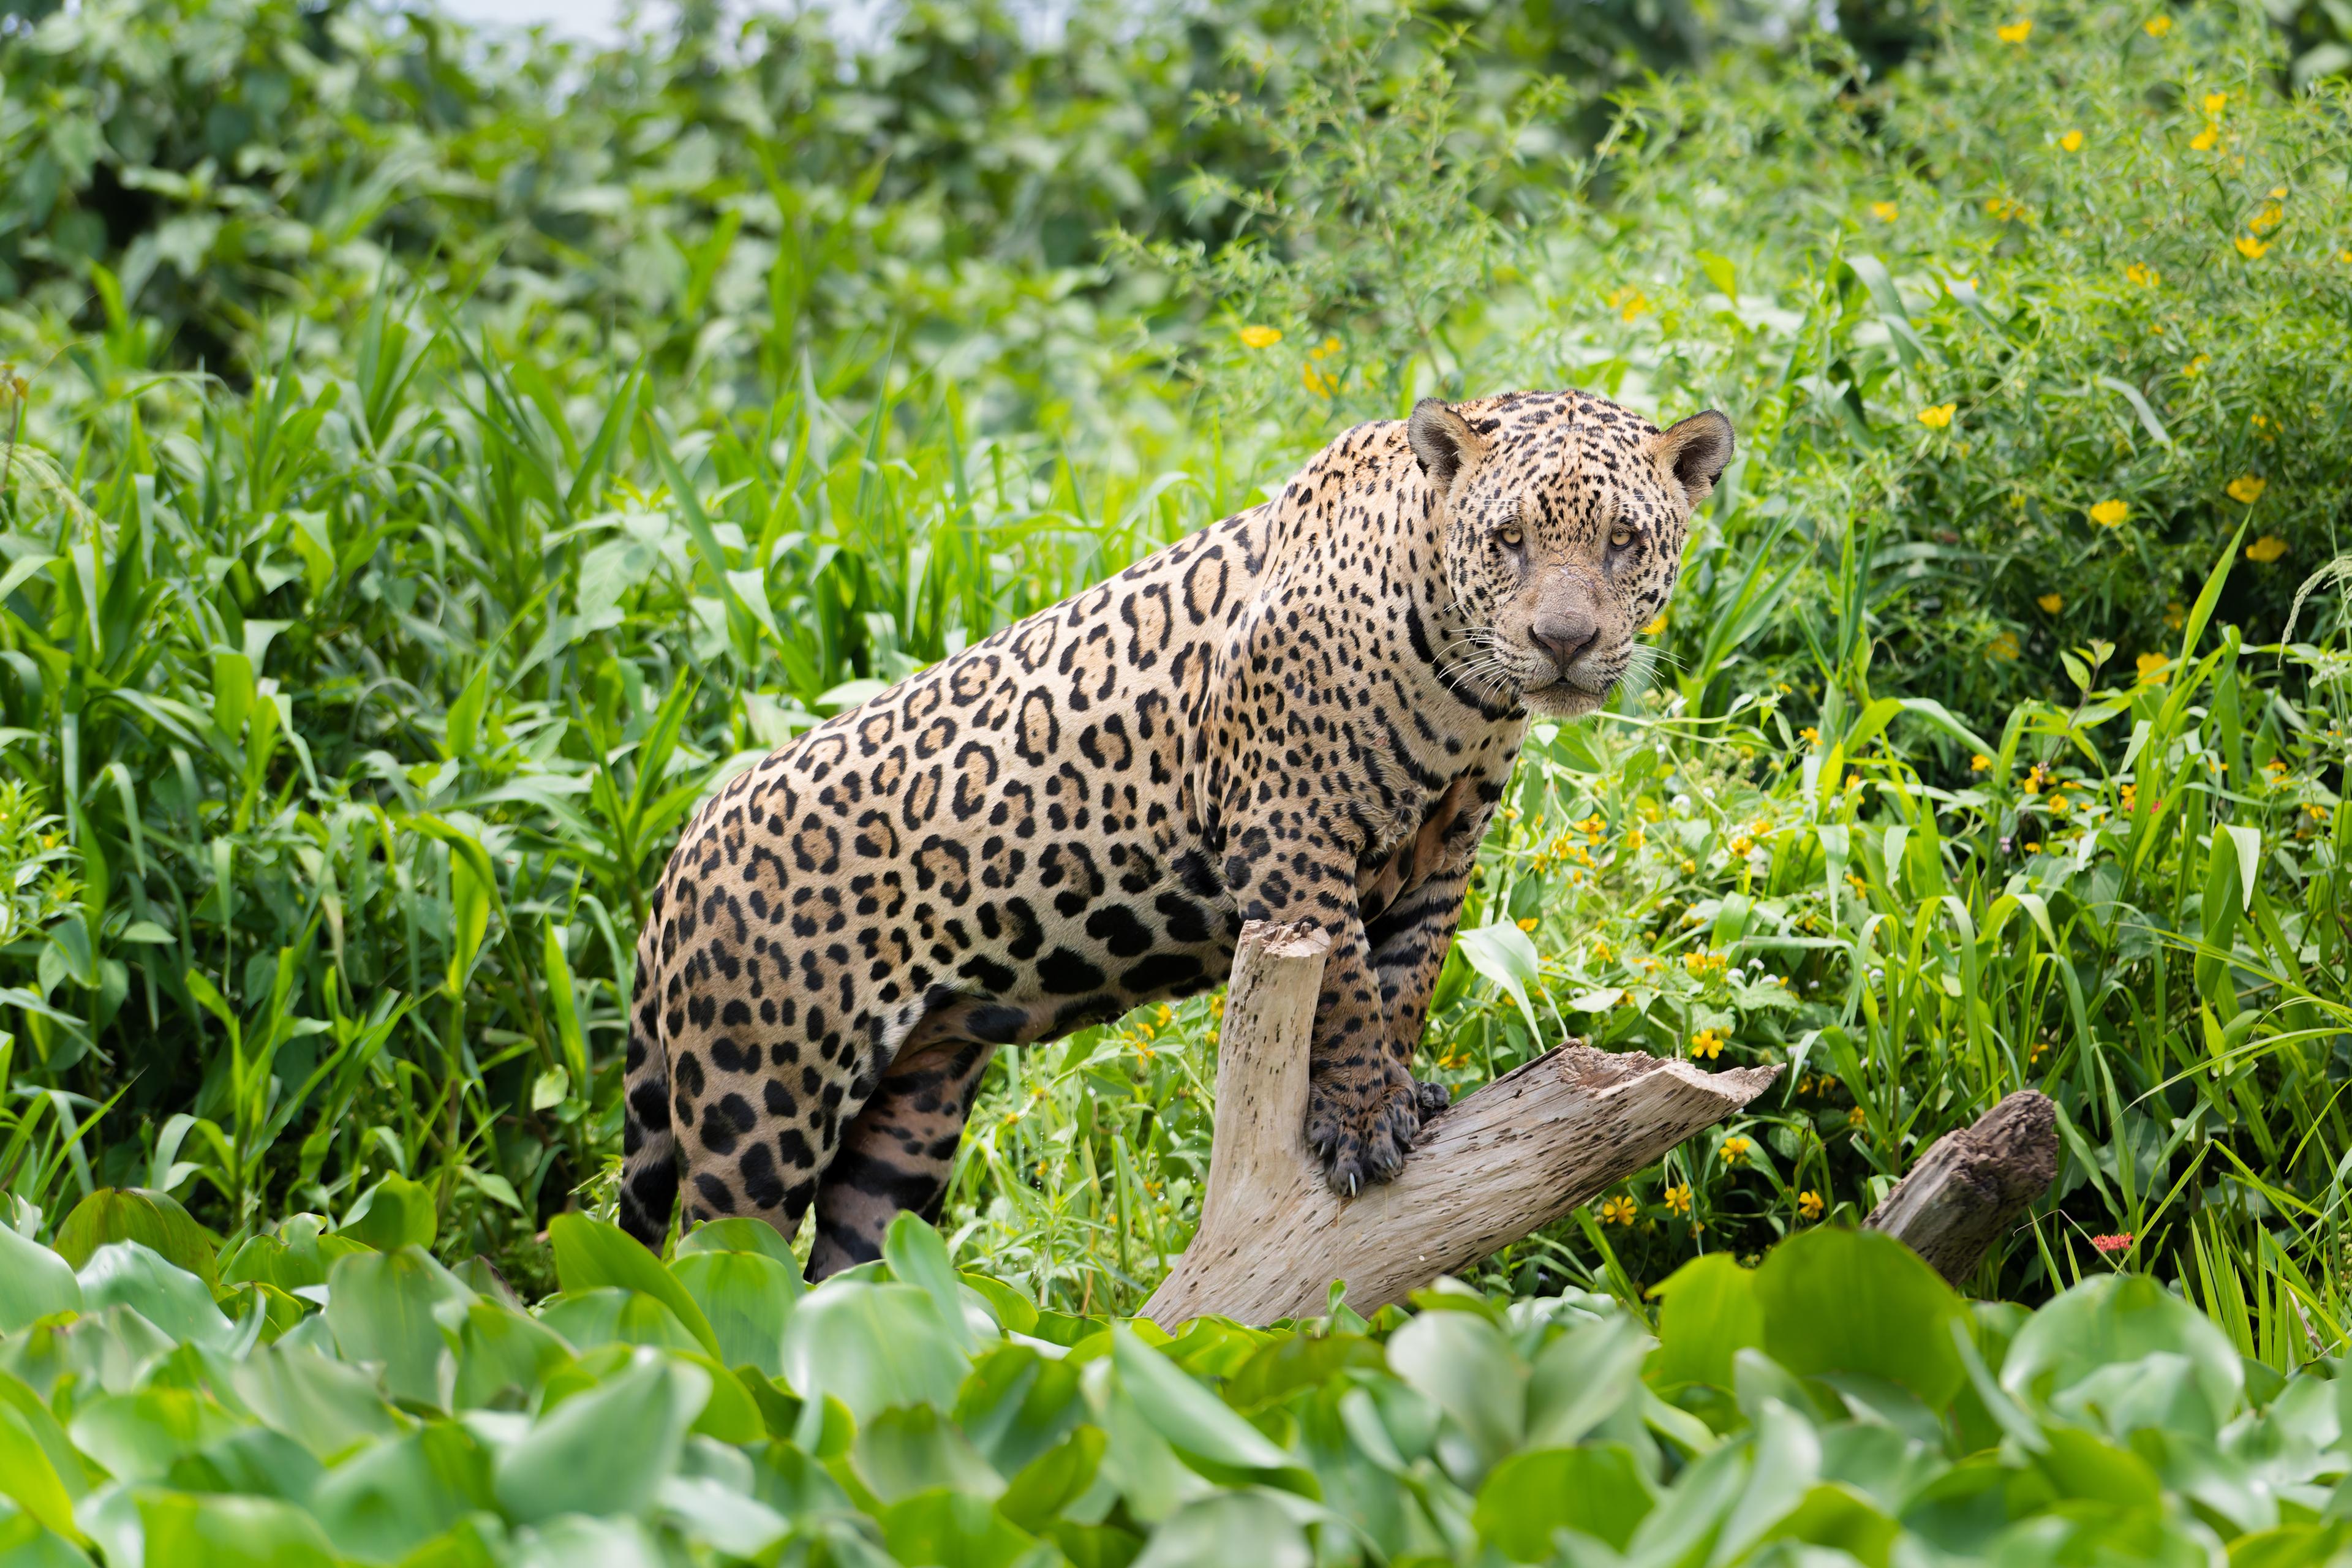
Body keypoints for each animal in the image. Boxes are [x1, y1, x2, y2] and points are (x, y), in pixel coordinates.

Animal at [616, 388, 1734, 1276]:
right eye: (1507, 541)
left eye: (1623, 542)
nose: (1564, 641)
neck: (1468, 687)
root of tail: (680, 854)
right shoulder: (1289, 833)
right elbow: (1342, 984)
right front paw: (1361, 1120)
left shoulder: (1443, 853)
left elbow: (1406, 980)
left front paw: (1400, 1091)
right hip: (757, 1113)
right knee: (710, 1268)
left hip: (909, 1124)